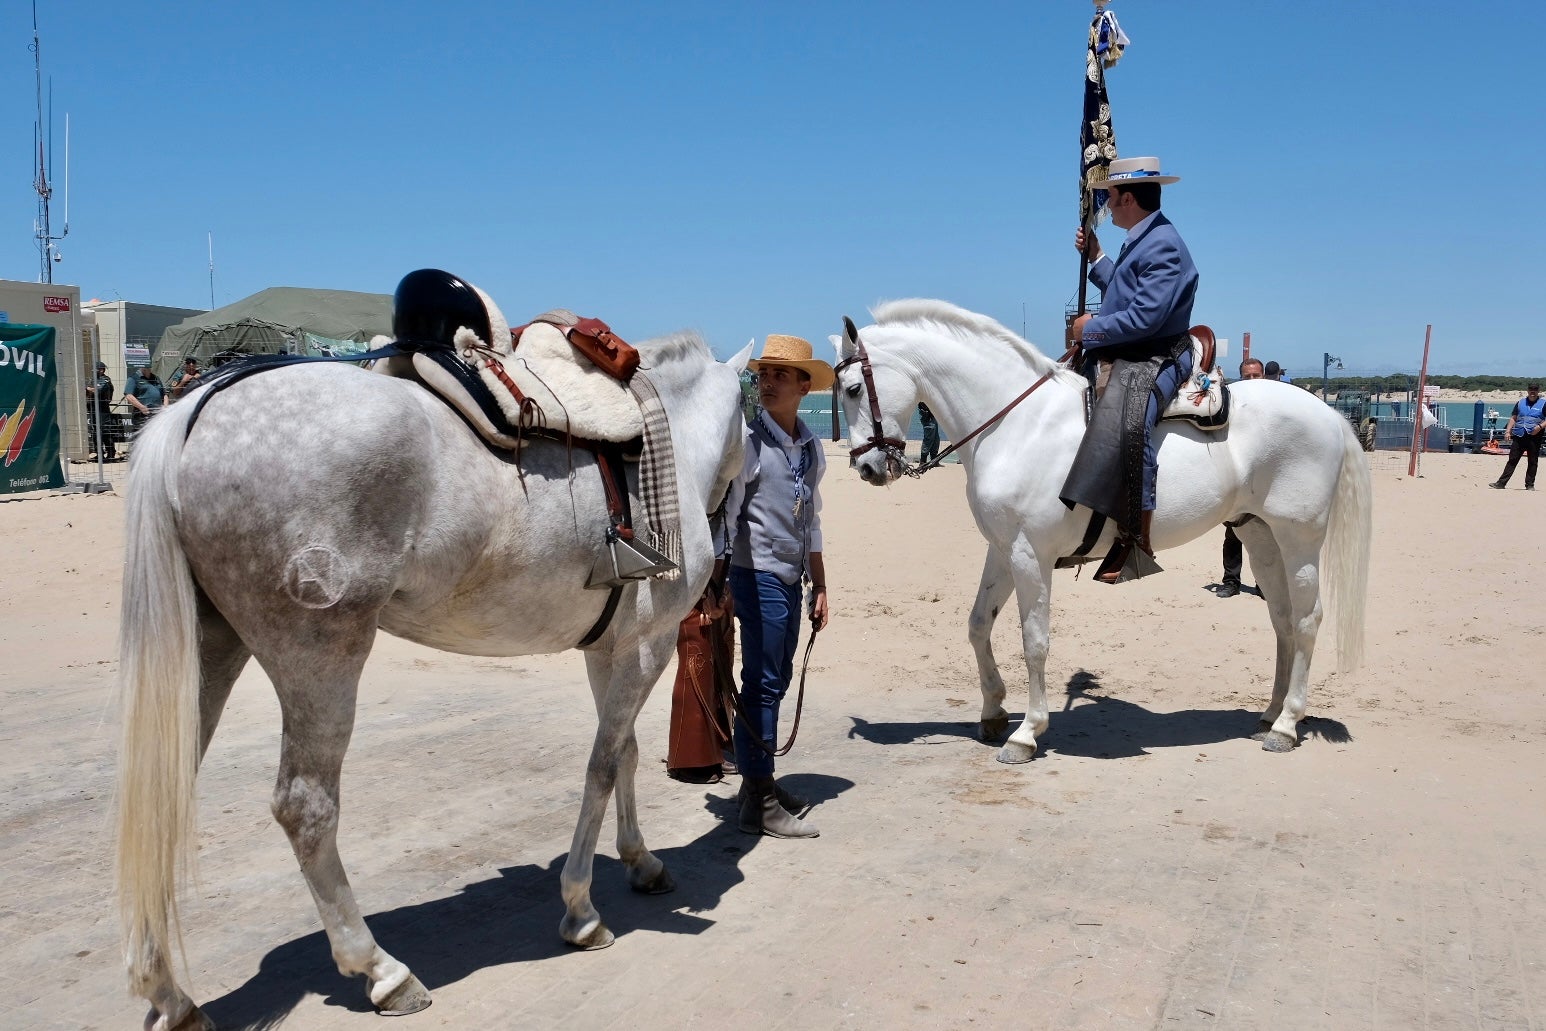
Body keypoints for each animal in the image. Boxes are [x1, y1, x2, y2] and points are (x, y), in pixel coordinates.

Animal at [112, 335, 748, 1026]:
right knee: (305, 808)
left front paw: (641, 862)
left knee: (161, 794)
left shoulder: (610, 650)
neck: (664, 440)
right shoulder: (647, 646)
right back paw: (380, 970)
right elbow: (603, 767)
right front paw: (581, 910)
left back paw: (167, 993)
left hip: (214, 649)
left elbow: (624, 752)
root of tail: (199, 405)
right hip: (321, 660)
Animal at [841, 298, 1372, 766]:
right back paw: (1270, 714)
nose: (866, 467)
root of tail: (1328, 413)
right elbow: (977, 624)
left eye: (849, 389)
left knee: (1307, 620)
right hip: (1260, 538)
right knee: (1282, 620)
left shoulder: (1030, 554)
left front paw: (1026, 732)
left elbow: (1034, 640)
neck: (1017, 425)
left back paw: (1287, 724)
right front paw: (992, 710)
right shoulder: (1003, 549)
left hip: (1299, 540)